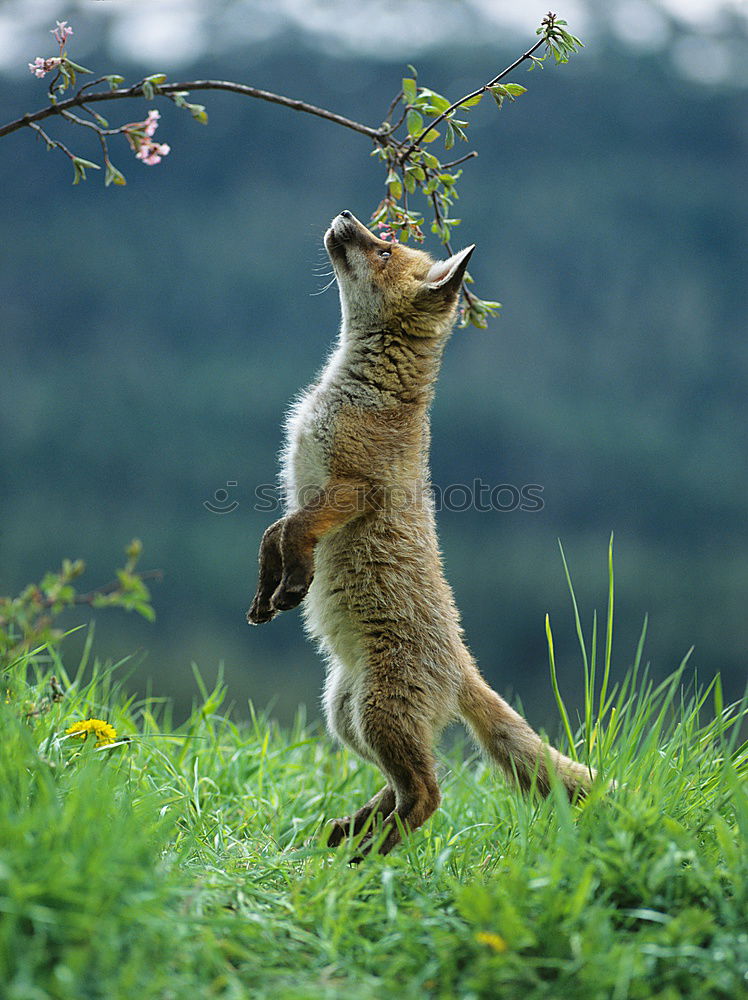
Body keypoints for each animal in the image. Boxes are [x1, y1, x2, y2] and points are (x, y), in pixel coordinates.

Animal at [248, 209, 592, 852]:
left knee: (431, 795)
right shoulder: (303, 486)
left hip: (378, 717)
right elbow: (272, 535)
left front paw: (294, 585)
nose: (345, 216)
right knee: (404, 788)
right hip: (348, 719)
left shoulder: (352, 489)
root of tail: (462, 663)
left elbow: (295, 533)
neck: (356, 390)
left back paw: (370, 854)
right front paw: (264, 596)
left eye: (384, 250)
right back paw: (354, 832)